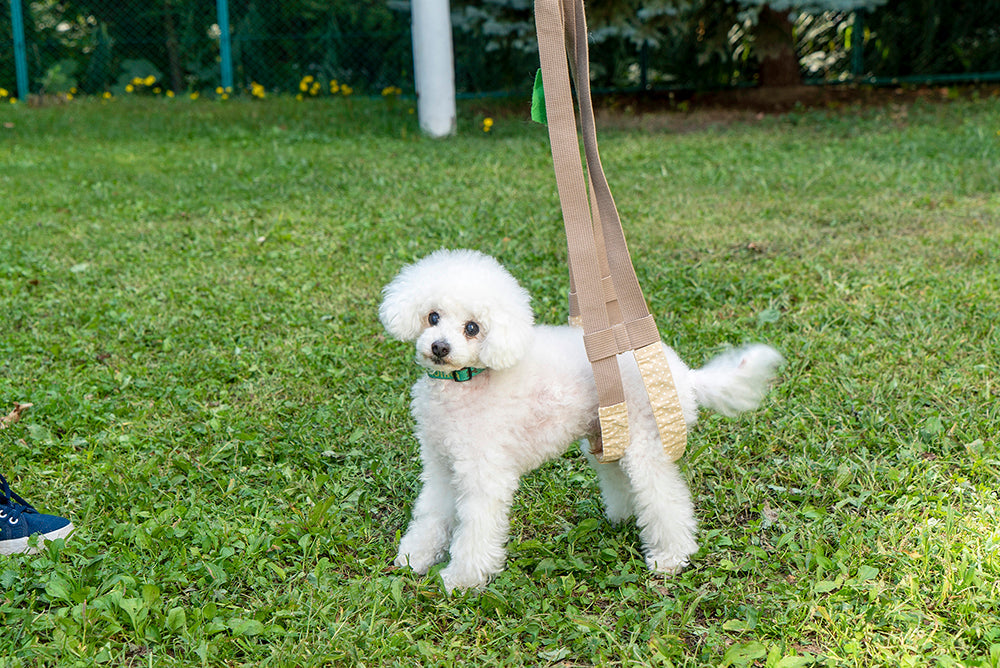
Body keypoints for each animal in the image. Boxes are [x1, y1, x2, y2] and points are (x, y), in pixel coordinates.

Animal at [380, 248, 780, 592]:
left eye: (473, 328)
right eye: (433, 317)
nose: (440, 348)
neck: (466, 382)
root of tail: (682, 375)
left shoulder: (484, 475)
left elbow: (475, 529)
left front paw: (462, 578)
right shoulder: (441, 464)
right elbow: (431, 512)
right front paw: (415, 557)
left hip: (645, 444)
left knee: (666, 498)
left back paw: (670, 556)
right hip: (609, 437)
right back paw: (622, 517)